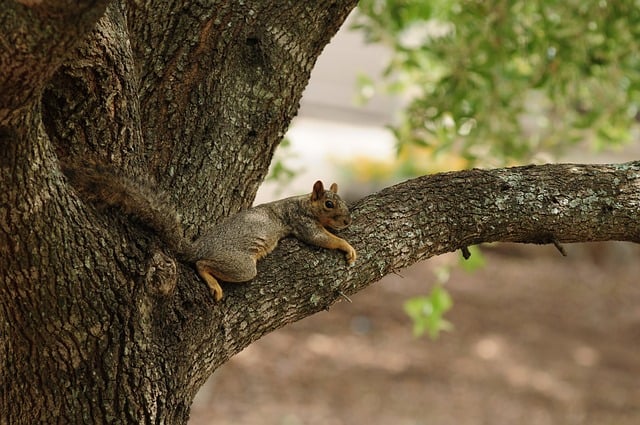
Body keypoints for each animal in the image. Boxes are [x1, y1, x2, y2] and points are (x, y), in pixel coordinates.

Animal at [62, 164, 357, 301]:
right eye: (329, 204)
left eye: (341, 201)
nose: (347, 220)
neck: (302, 202)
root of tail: (197, 247)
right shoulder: (301, 221)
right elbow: (320, 238)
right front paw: (347, 246)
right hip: (240, 265)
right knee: (202, 264)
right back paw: (213, 283)